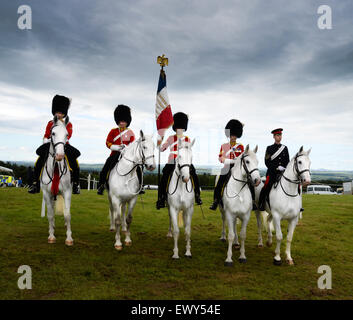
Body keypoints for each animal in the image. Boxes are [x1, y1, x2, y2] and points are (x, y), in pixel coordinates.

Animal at [40, 116, 73, 246]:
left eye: (67, 134)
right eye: (53, 133)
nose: (59, 155)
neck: (55, 168)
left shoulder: (67, 192)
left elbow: (67, 214)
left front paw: (69, 238)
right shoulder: (47, 194)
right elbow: (50, 214)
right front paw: (51, 236)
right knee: (52, 211)